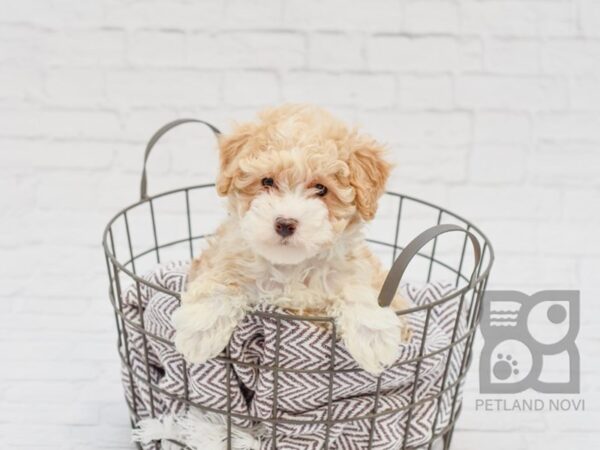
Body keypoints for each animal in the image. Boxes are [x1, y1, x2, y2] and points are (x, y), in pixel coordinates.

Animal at [171, 103, 410, 374]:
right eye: (267, 181)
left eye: (321, 189)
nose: (285, 223)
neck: (291, 267)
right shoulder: (229, 256)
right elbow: (222, 279)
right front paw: (199, 330)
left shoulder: (352, 270)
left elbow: (357, 287)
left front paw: (373, 335)